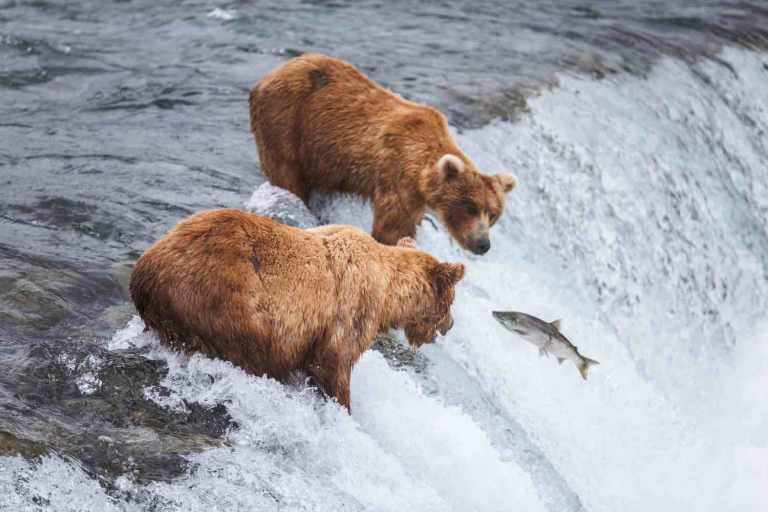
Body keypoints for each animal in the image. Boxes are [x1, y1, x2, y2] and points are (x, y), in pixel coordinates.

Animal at [128, 206, 462, 410]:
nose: (450, 325)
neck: (387, 293)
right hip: (223, 297)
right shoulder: (349, 311)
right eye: (451, 300)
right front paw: (343, 406)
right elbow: (334, 364)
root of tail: (145, 270)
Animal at [249, 53, 520, 254]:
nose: (483, 244)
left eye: (493, 214)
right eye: (470, 207)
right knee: (286, 172)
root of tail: (271, 74)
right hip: (287, 121)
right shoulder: (397, 178)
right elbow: (391, 229)